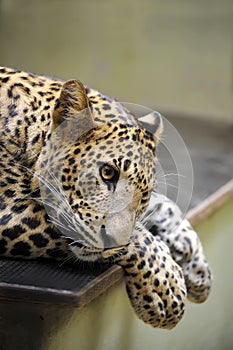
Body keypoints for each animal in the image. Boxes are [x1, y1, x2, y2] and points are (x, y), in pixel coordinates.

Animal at [0, 67, 211, 330]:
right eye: (107, 172)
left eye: (144, 194)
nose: (113, 241)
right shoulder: (10, 204)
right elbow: (139, 235)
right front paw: (166, 285)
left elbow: (162, 206)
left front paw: (195, 262)